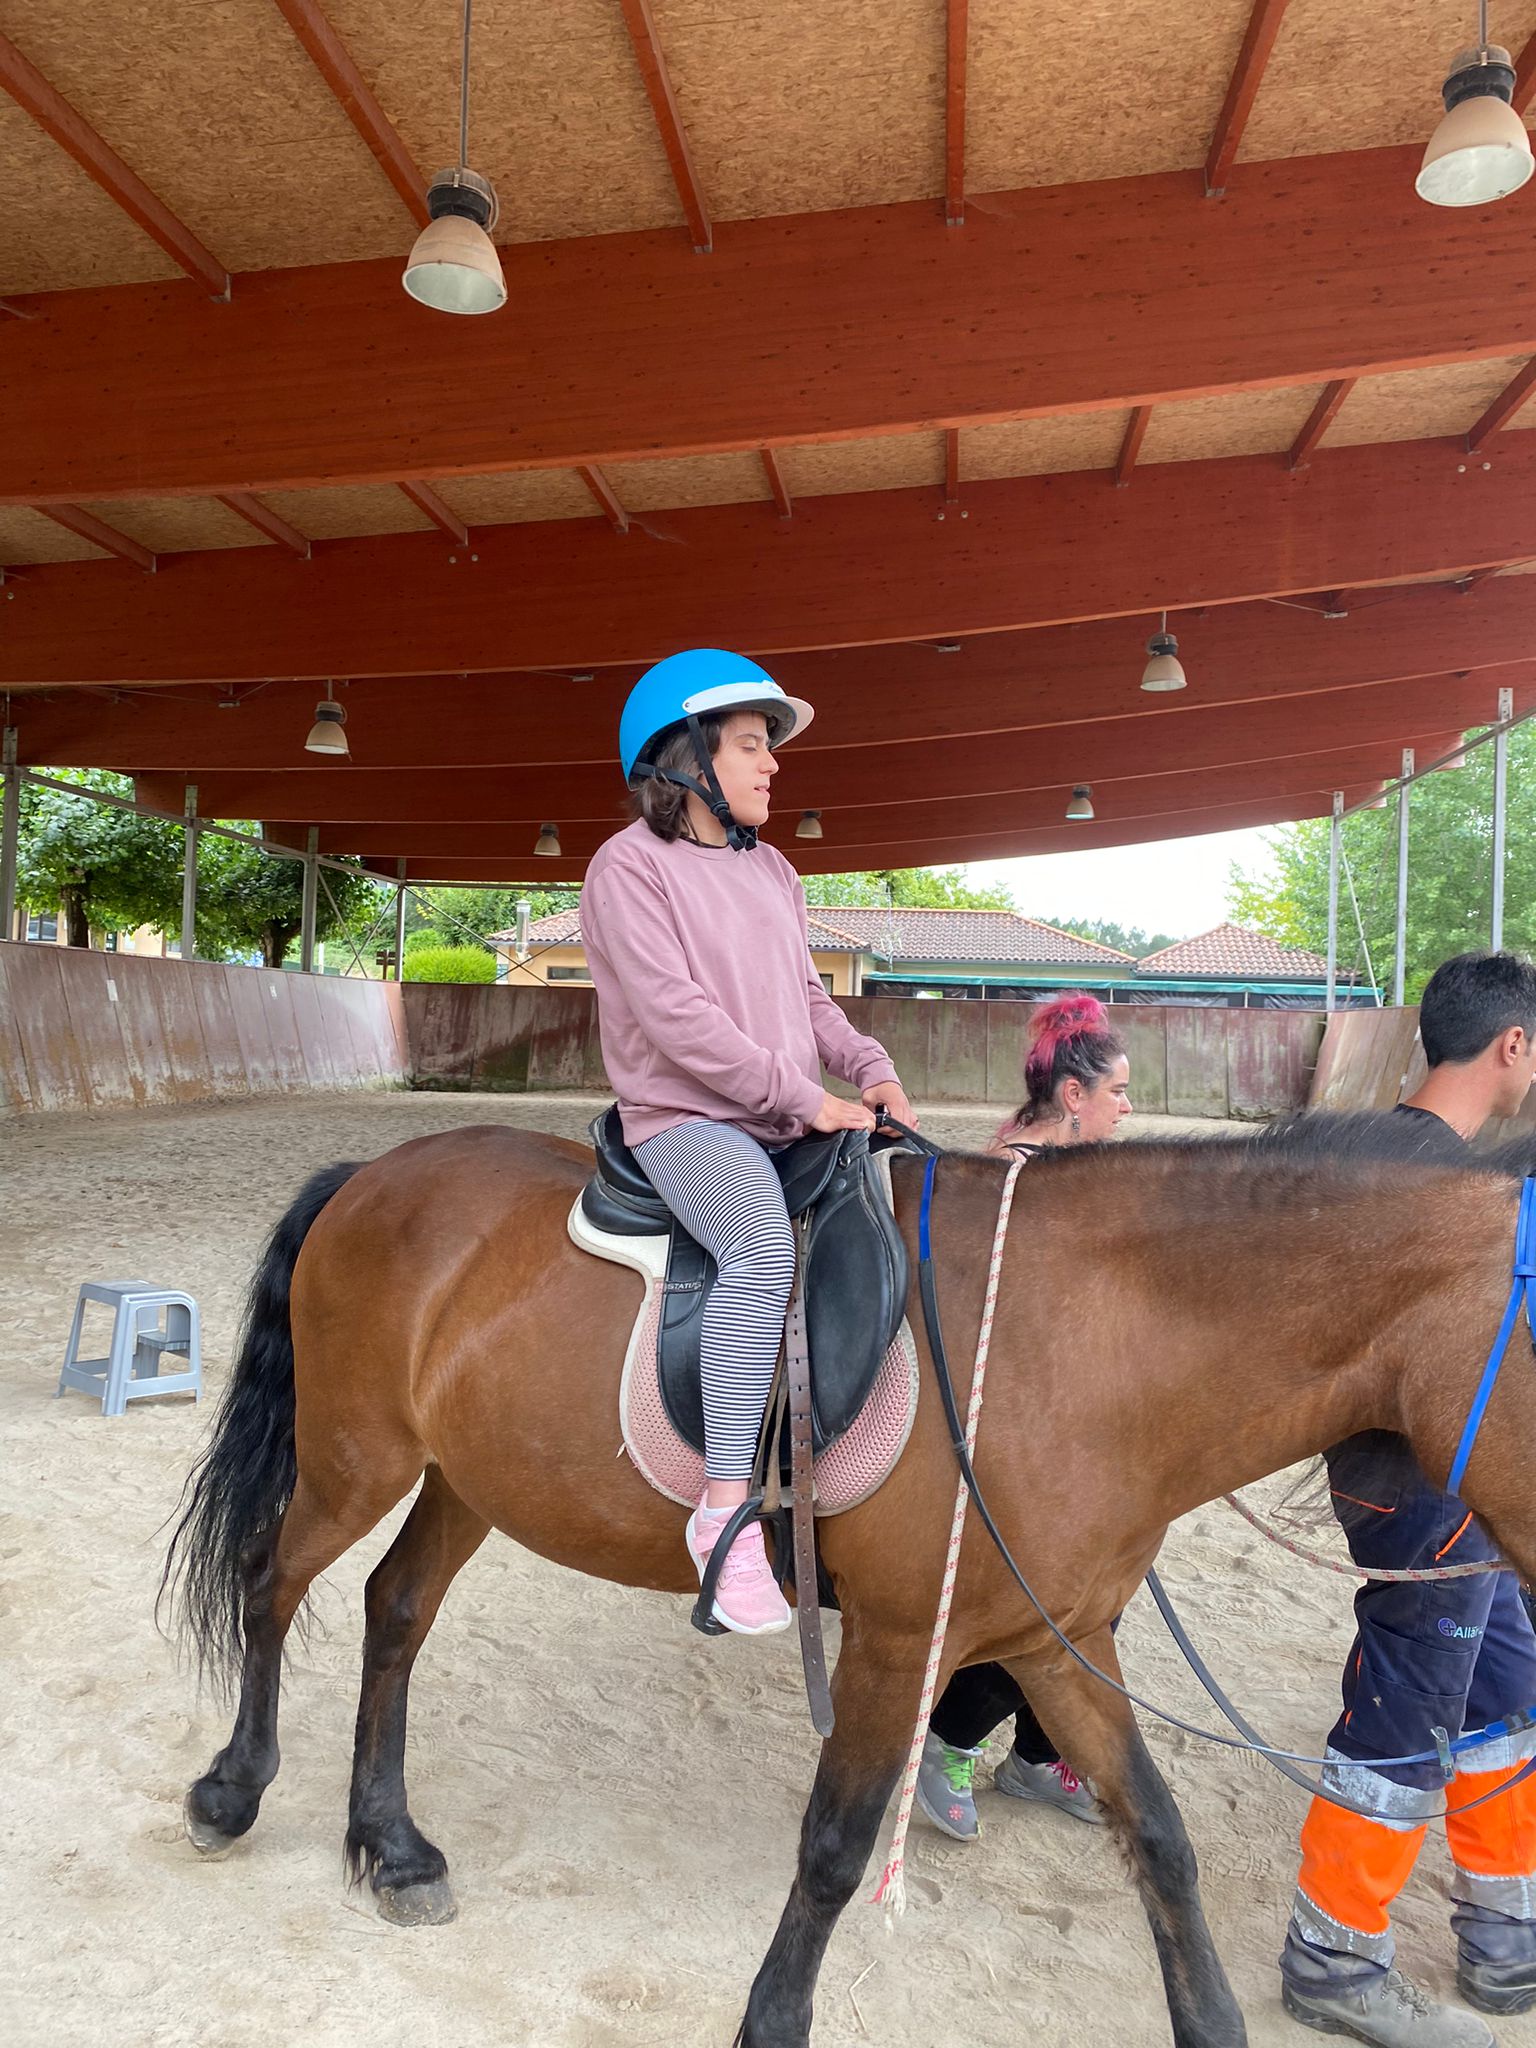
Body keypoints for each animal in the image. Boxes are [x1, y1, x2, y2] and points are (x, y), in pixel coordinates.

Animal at [162, 1122, 1536, 2048]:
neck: (1082, 1340)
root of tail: (375, 1170)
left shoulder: (1057, 1637)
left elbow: (1159, 1835)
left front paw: (1207, 2015)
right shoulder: (892, 1640)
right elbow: (832, 1847)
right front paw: (772, 2019)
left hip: (469, 1475)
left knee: (395, 1610)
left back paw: (389, 1844)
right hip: (357, 1455)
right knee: (271, 1583)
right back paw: (234, 1788)